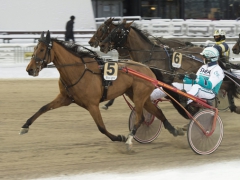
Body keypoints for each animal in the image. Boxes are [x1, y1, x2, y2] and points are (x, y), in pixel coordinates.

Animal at [19, 31, 184, 149]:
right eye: (34, 48)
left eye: (42, 49)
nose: (29, 69)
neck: (79, 70)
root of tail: (148, 68)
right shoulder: (64, 98)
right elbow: (43, 108)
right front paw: (25, 126)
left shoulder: (92, 105)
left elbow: (101, 127)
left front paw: (119, 137)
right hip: (138, 96)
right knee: (157, 112)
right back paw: (174, 130)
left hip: (139, 96)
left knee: (140, 118)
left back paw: (129, 138)